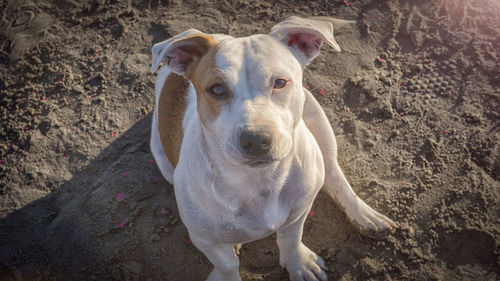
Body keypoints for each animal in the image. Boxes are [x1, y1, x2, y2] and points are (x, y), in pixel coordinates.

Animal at [150, 16, 396, 278]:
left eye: (280, 82)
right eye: (217, 89)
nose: (256, 139)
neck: (258, 179)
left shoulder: (299, 210)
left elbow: (290, 238)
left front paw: (298, 263)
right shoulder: (205, 239)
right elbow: (227, 265)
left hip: (317, 119)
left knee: (333, 173)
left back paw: (364, 213)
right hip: (162, 159)